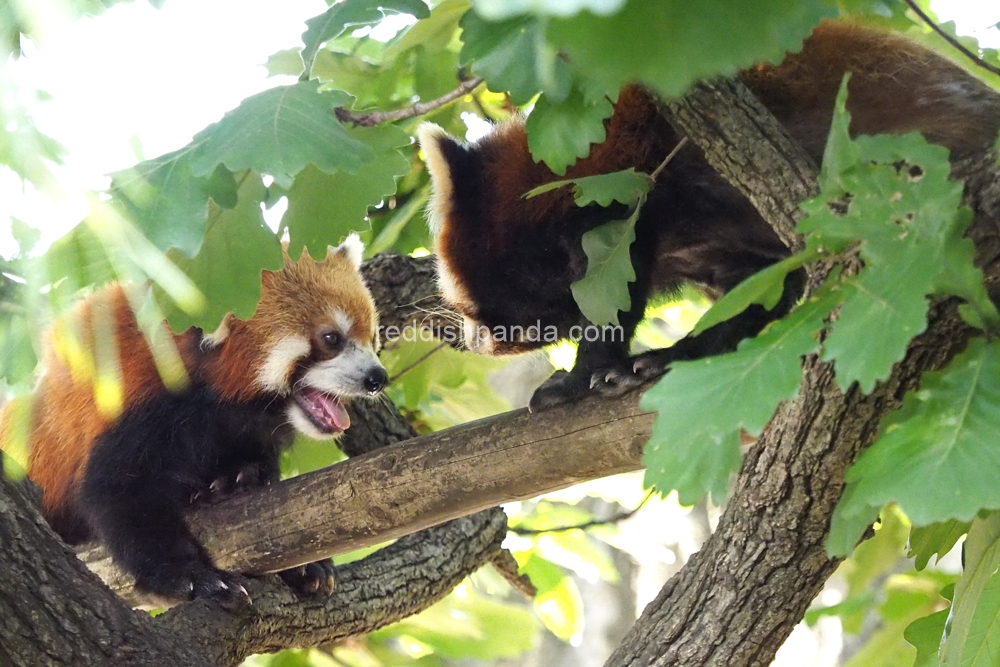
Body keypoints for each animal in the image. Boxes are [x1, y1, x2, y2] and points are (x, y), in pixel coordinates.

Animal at [0, 236, 386, 604]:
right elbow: (120, 496)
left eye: (372, 337)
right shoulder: (132, 403)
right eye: (331, 338)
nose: (377, 378)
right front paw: (192, 577)